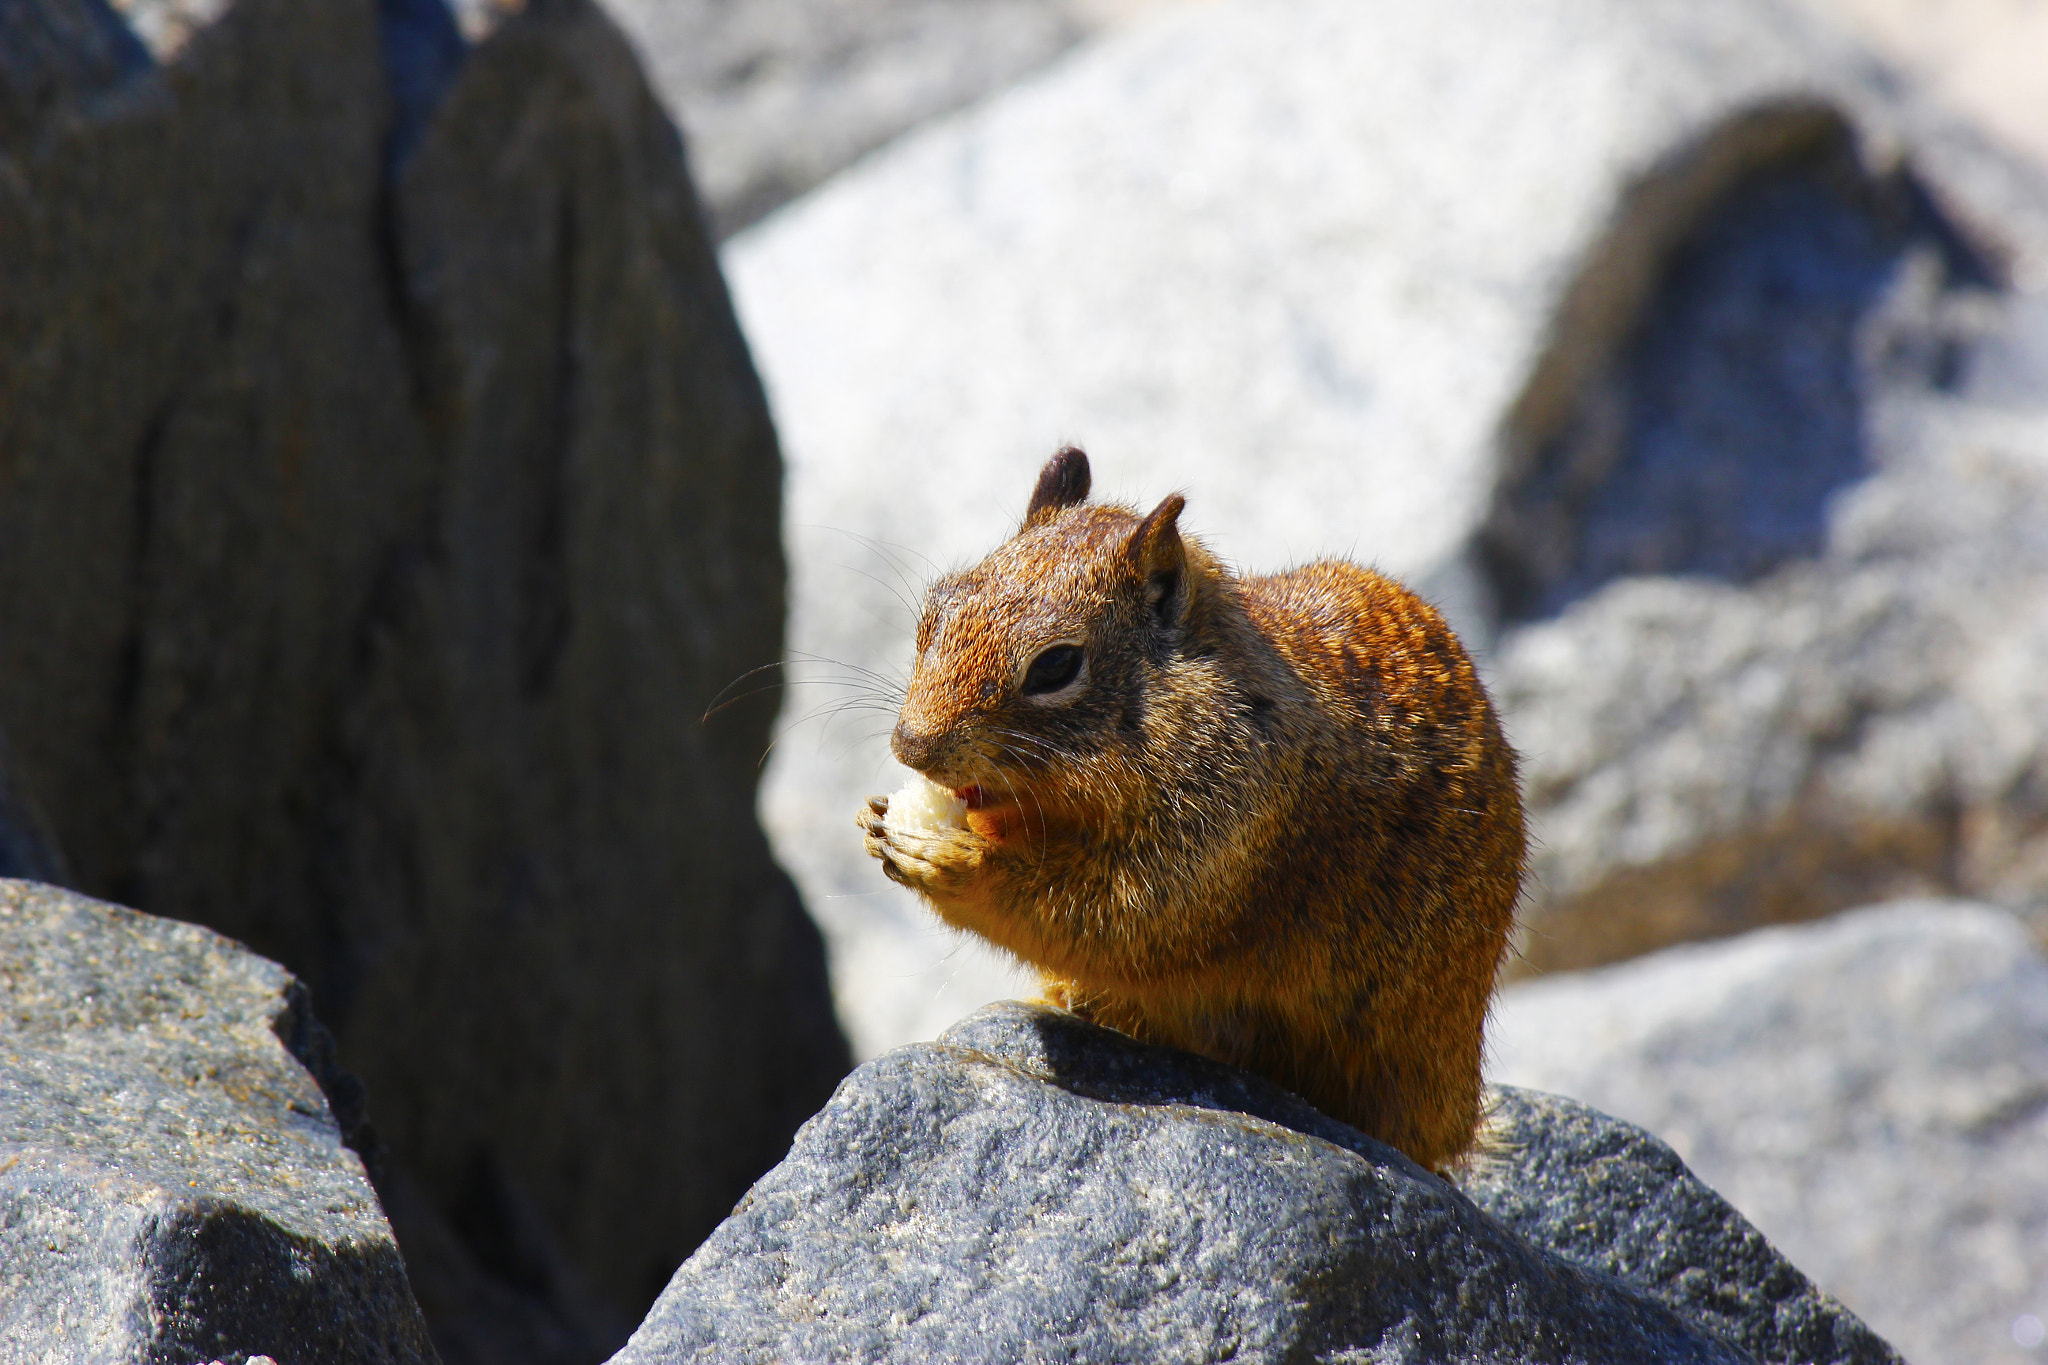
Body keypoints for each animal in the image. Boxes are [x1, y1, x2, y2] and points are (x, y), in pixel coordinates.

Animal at [858, 446, 1525, 1171]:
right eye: (934, 609)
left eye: (1056, 666)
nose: (912, 745)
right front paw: (882, 821)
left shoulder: (1224, 834)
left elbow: (1110, 919)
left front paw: (951, 857)